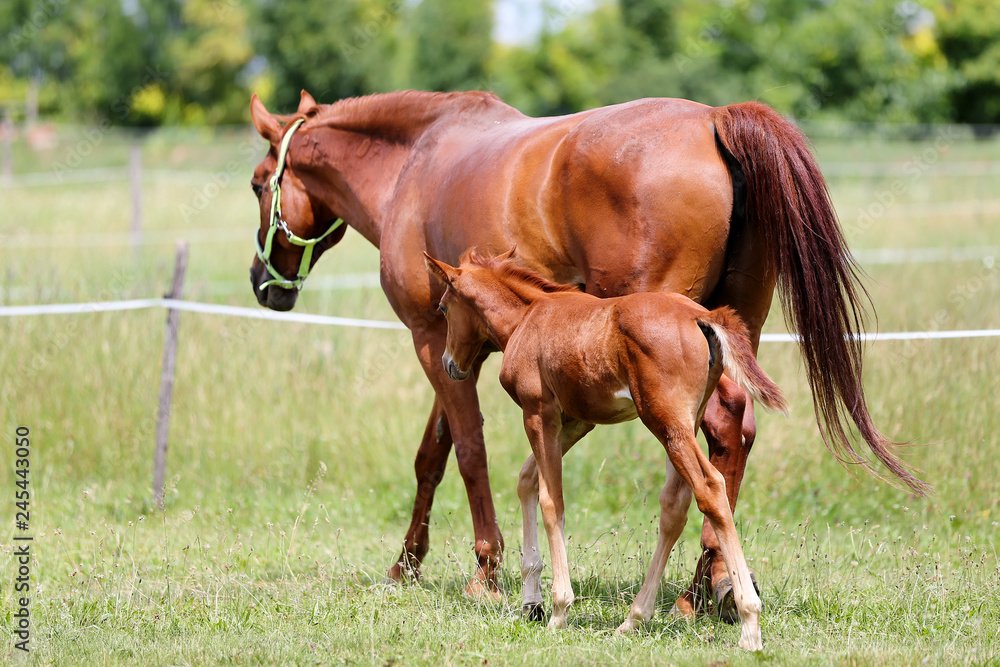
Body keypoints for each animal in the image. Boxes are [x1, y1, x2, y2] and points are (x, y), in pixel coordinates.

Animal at [424, 249, 788, 649]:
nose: (449, 364)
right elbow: (526, 480)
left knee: (709, 488)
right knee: (674, 507)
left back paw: (749, 622)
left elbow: (552, 501)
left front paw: (558, 609)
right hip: (685, 422)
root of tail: (701, 315)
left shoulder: (538, 412)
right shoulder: (577, 420)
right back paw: (634, 618)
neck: (527, 317)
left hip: (666, 421)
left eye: (443, 307)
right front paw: (531, 600)